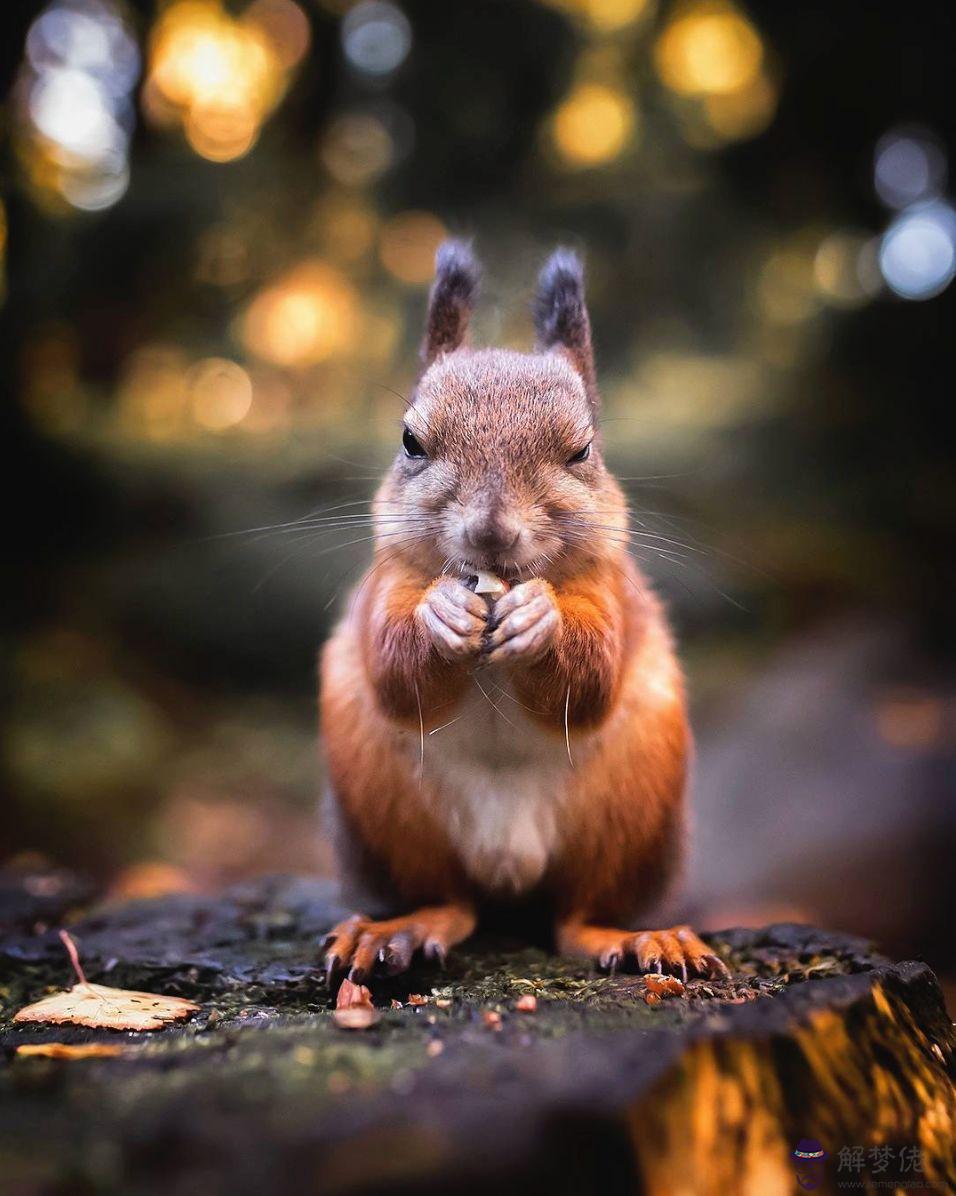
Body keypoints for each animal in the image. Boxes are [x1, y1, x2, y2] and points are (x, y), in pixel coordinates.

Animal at [318, 240, 727, 980]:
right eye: (411, 442)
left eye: (583, 450)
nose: (490, 532)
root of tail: (507, 874)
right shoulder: (382, 587)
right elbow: (391, 669)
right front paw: (441, 615)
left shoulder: (615, 595)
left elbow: (593, 679)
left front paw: (542, 620)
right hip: (390, 813)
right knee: (450, 901)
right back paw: (399, 928)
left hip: (626, 819)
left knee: (575, 917)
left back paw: (639, 939)